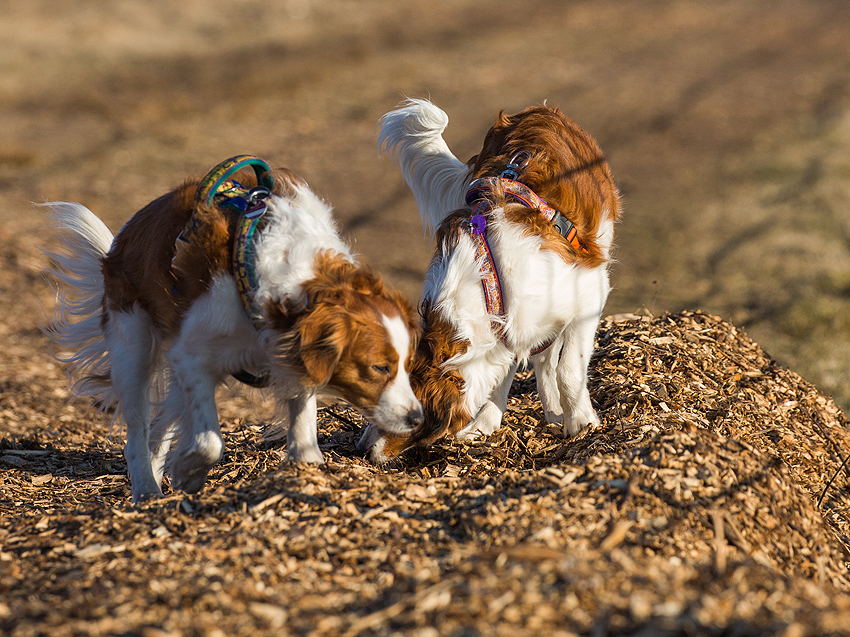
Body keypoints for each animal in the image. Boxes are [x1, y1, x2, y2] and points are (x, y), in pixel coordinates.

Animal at [43, 155, 420, 502]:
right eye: (379, 368)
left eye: (407, 366)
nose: (417, 418)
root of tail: (120, 241)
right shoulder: (192, 357)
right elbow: (211, 440)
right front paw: (190, 472)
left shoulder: (289, 358)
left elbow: (303, 428)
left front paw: (306, 470)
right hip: (132, 349)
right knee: (137, 432)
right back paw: (146, 492)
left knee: (159, 430)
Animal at [356, 99, 616, 460]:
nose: (361, 449)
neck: (492, 283)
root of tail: (538, 111)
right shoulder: (510, 324)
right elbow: (510, 369)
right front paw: (483, 425)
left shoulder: (589, 292)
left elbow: (569, 369)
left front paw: (581, 423)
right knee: (542, 357)